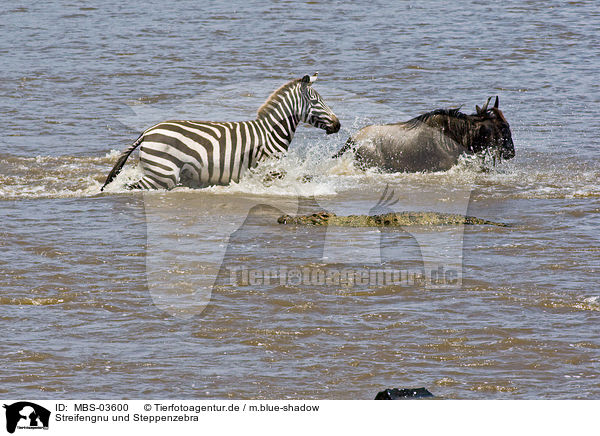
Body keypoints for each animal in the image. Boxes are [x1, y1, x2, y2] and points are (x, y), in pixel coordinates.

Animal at [101, 73, 340, 191]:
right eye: (317, 102)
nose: (338, 125)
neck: (270, 132)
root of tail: (148, 132)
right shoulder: (268, 169)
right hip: (163, 174)